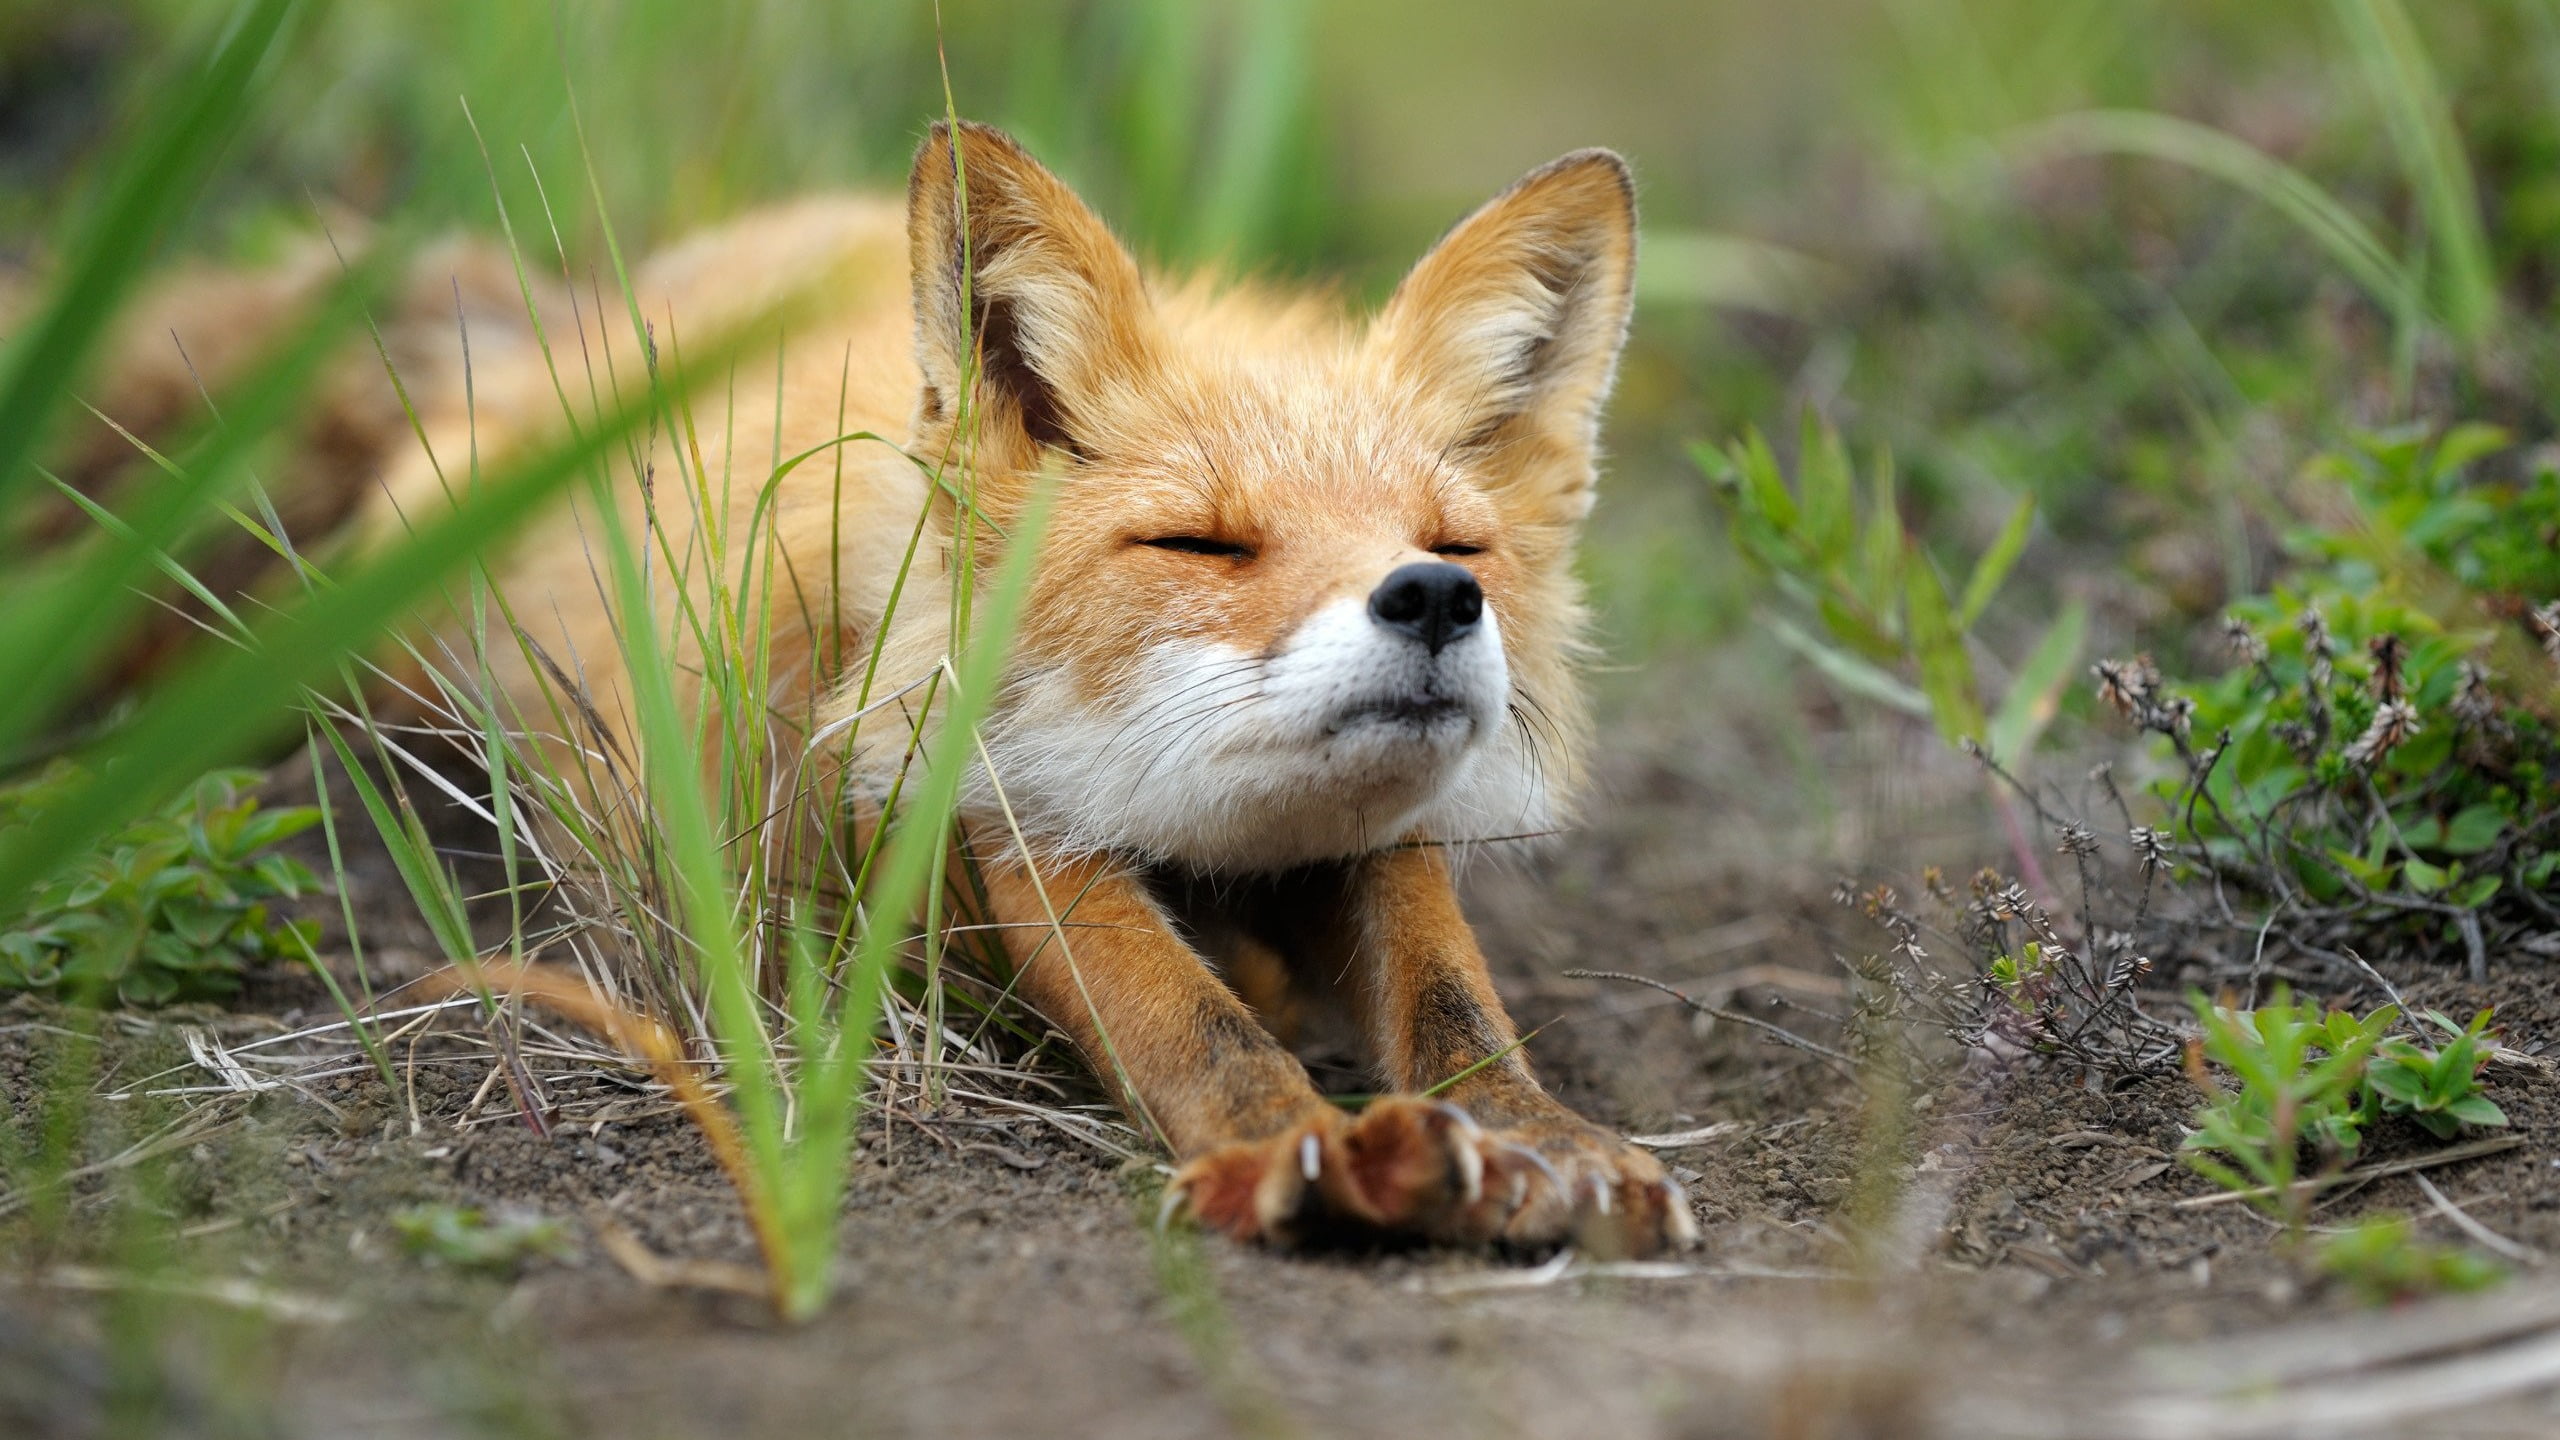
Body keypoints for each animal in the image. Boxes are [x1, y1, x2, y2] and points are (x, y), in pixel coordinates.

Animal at [66, 120, 1694, 1256]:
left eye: (1455, 544)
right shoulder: (979, 809)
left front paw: (1540, 1137)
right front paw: (1293, 1147)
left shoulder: (1373, 838)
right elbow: (1178, 1009)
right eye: (1203, 542)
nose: (1432, 601)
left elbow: (1448, 993)